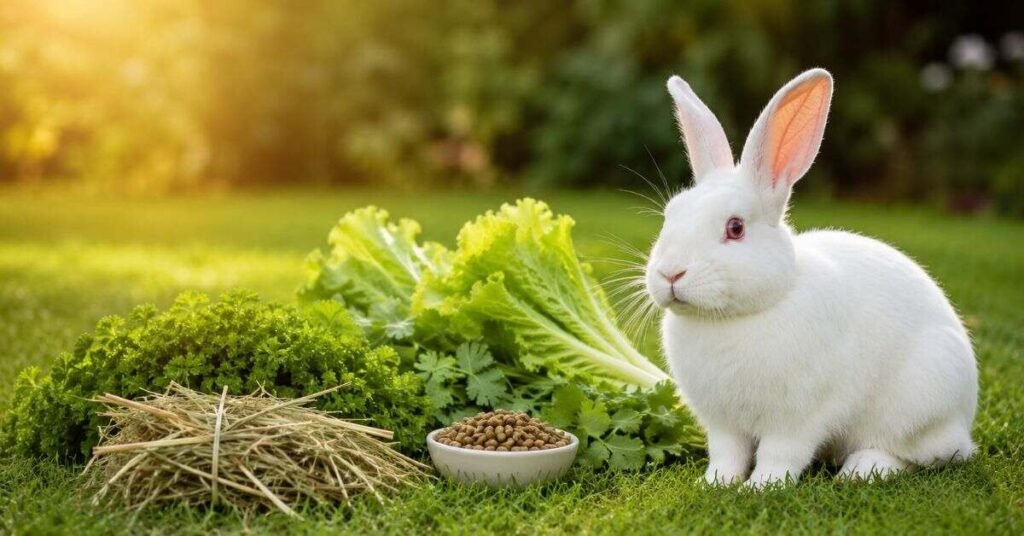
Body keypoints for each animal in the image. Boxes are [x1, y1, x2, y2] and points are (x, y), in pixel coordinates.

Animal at [645, 68, 977, 488]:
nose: (670, 272)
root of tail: (964, 422)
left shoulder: (798, 417)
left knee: (917, 455)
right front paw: (715, 483)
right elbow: (727, 454)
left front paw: (759, 488)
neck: (736, 317)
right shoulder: (722, 424)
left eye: (735, 228)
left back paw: (861, 471)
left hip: (921, 403)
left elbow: (780, 454)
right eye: (670, 214)